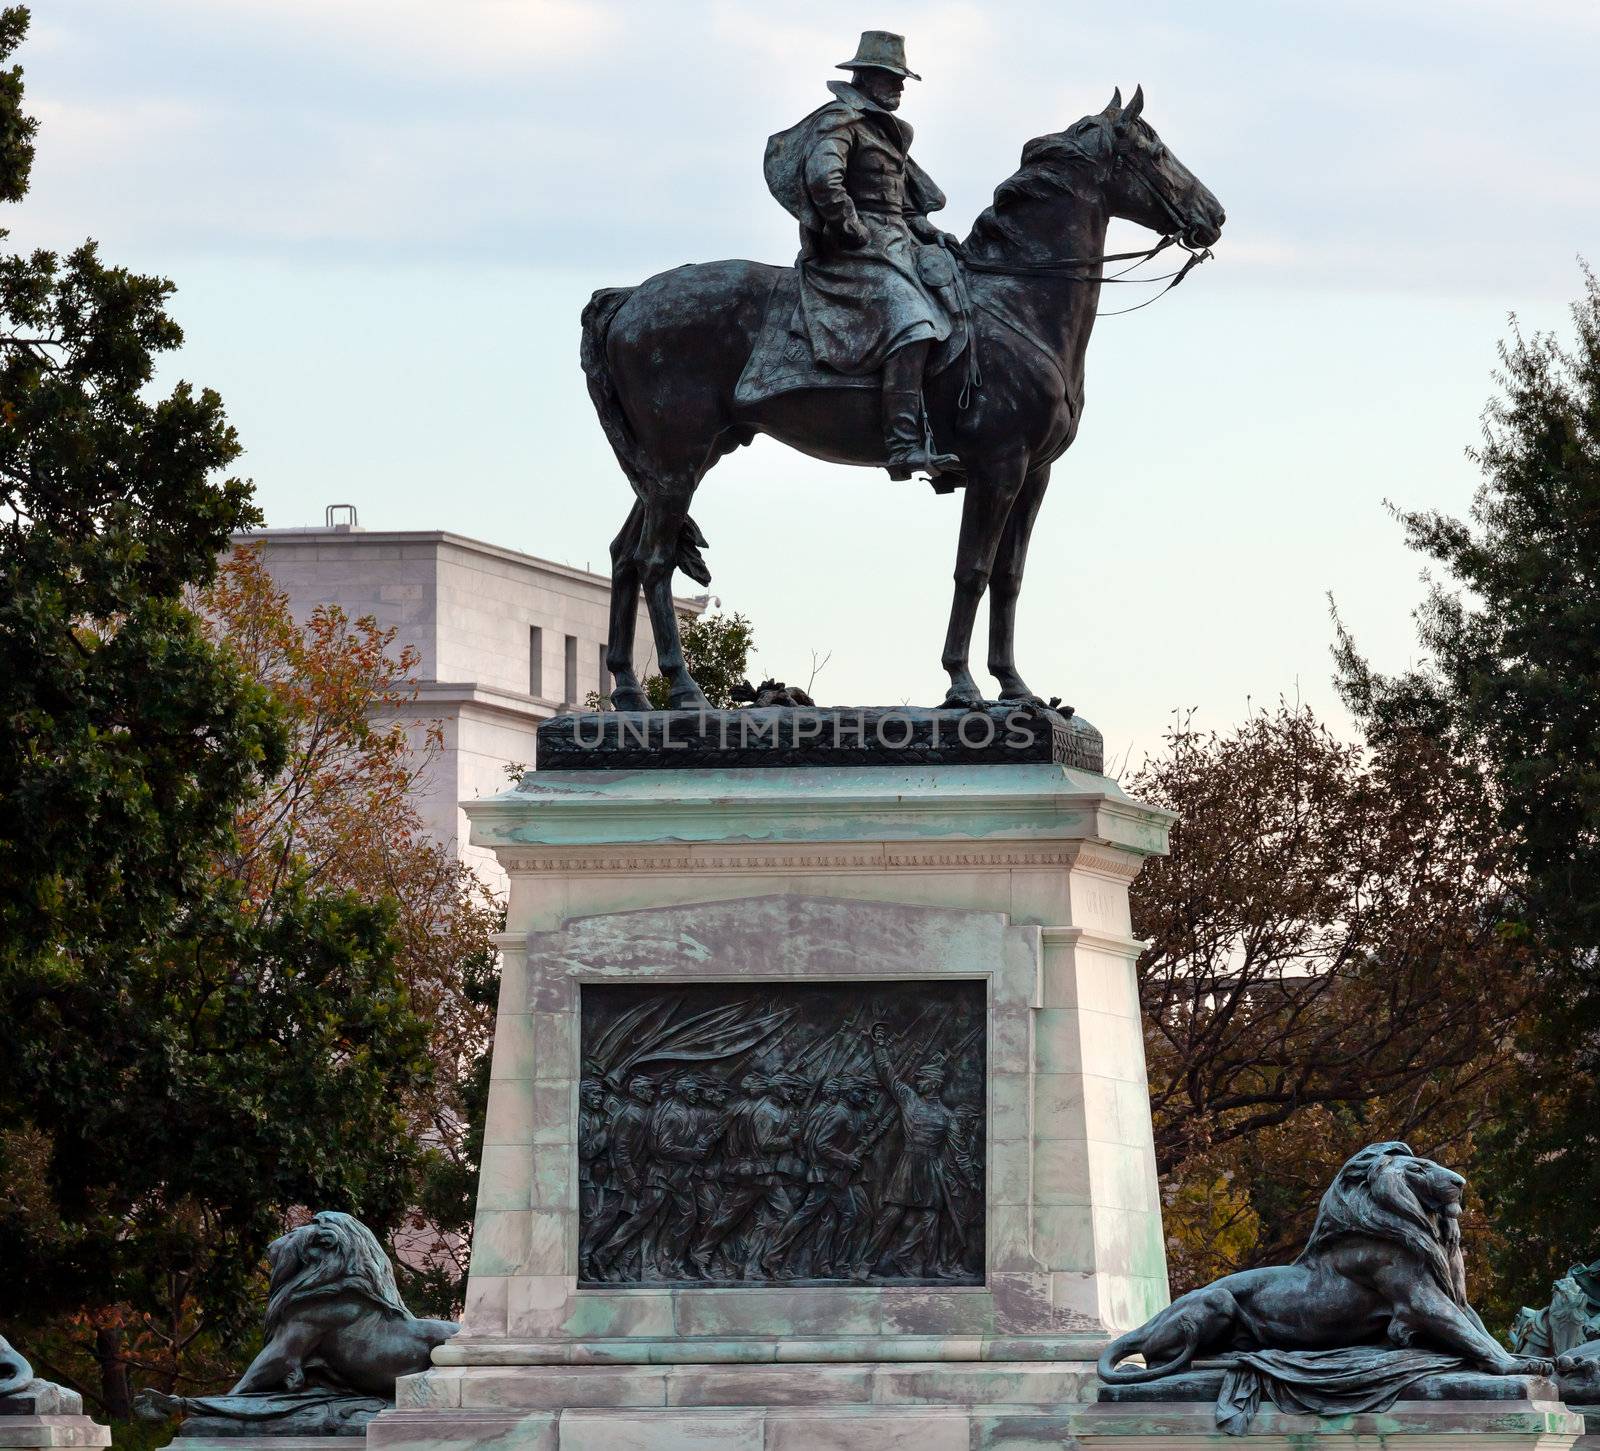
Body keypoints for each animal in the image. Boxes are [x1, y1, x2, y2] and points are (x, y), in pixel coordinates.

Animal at [1100, 1145, 1548, 1382]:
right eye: (1419, 1168)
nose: (1460, 1182)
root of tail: (1148, 1323)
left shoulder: (1454, 1296)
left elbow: (1480, 1331)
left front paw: (1536, 1362)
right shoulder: (1418, 1297)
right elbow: (1470, 1335)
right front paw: (1512, 1366)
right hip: (1218, 1301)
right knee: (1167, 1361)